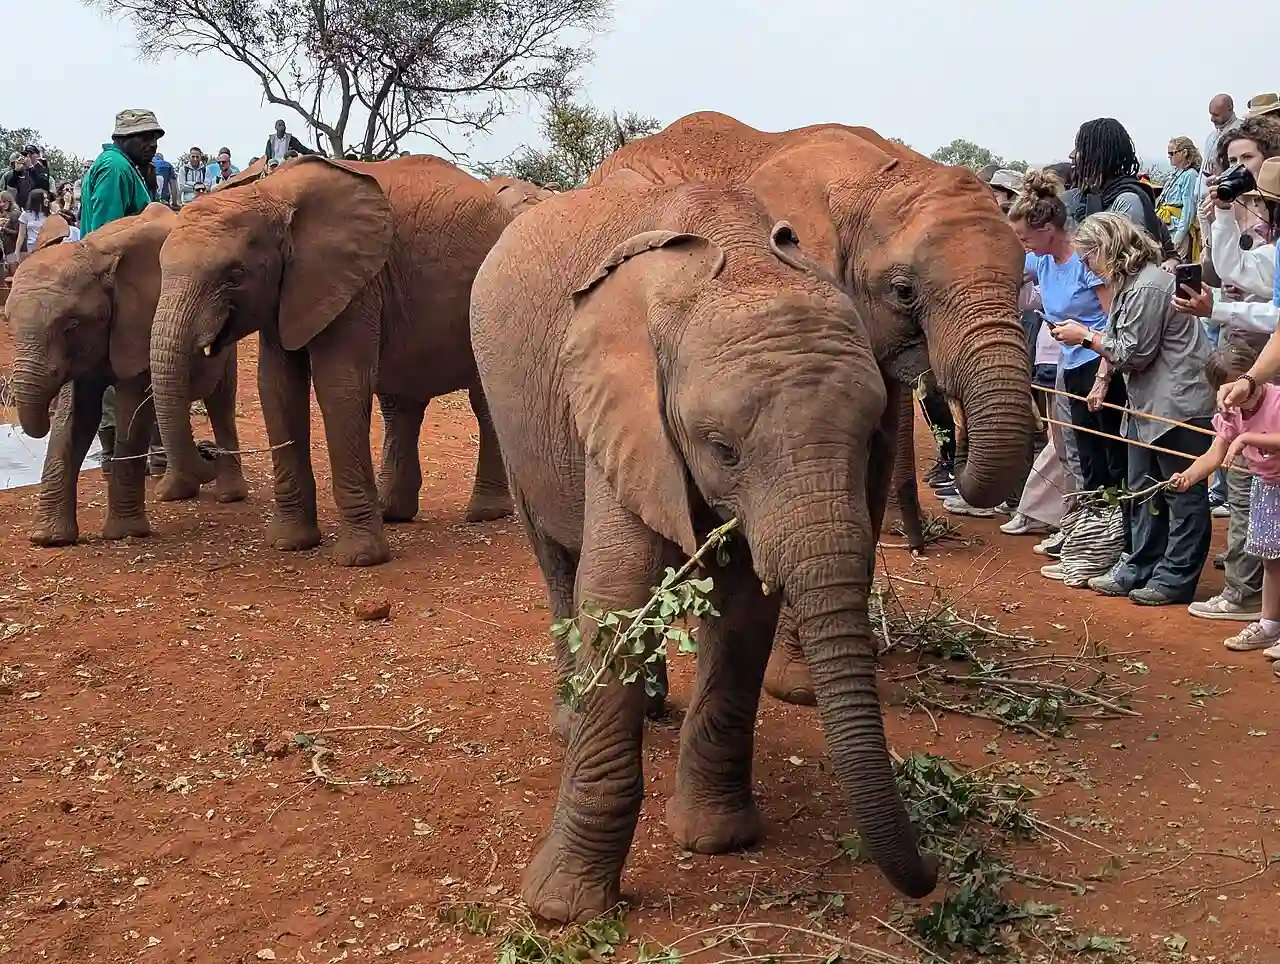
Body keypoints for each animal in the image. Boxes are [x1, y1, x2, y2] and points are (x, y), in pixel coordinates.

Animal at [2, 202, 247, 547]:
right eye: (8, 321)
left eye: (72, 324)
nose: (207, 452)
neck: (94, 254)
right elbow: (73, 417)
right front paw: (49, 539)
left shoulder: (139, 322)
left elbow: (131, 412)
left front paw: (124, 534)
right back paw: (174, 492)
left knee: (220, 401)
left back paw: (230, 495)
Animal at [147, 153, 515, 567]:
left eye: (235, 274)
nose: (207, 454)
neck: (271, 192)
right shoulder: (288, 291)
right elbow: (277, 388)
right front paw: (289, 543)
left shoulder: (354, 284)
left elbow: (338, 385)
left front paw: (360, 559)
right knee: (400, 404)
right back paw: (393, 512)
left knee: (482, 401)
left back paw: (485, 513)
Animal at [471, 177, 938, 923]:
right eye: (722, 449)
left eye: (871, 437)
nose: (930, 876)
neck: (739, 259)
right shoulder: (620, 410)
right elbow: (614, 595)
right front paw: (562, 910)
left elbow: (743, 613)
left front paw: (717, 840)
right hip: (510, 419)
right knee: (556, 564)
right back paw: (570, 722)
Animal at [589, 111, 1030, 705]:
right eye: (904, 290)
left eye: (1026, 276)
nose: (952, 474)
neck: (872, 178)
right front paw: (797, 688)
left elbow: (866, 475)